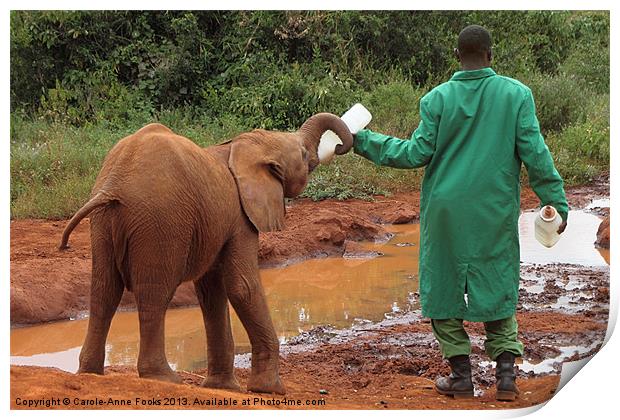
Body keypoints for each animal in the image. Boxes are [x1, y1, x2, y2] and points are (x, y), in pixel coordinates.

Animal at [61, 114, 356, 394]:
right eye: (304, 155)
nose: (340, 146)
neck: (242, 145)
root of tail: (114, 183)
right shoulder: (241, 218)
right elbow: (242, 287)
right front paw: (270, 390)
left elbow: (212, 292)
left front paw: (223, 387)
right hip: (160, 221)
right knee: (154, 293)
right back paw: (163, 378)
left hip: (102, 223)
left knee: (104, 292)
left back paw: (90, 372)